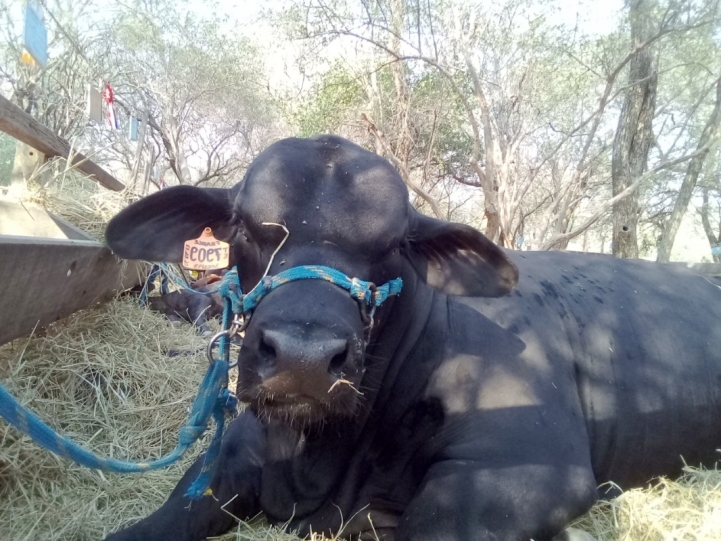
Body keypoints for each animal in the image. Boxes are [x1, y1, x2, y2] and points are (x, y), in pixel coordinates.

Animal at [102, 135, 720, 540]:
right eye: (247, 230)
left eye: (394, 245)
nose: (304, 358)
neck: (310, 461)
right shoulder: (231, 459)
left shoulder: (528, 468)